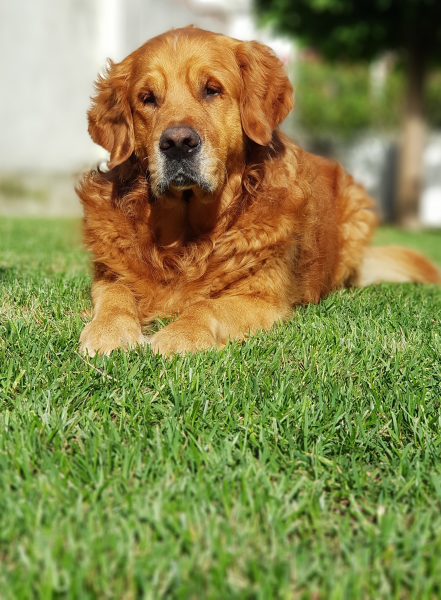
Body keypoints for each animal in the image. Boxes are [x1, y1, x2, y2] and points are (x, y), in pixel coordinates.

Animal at [76, 25, 440, 356]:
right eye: (147, 98)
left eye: (212, 90)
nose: (177, 142)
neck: (187, 239)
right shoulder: (110, 273)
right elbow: (116, 297)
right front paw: (108, 332)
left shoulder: (262, 297)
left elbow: (205, 306)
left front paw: (180, 336)